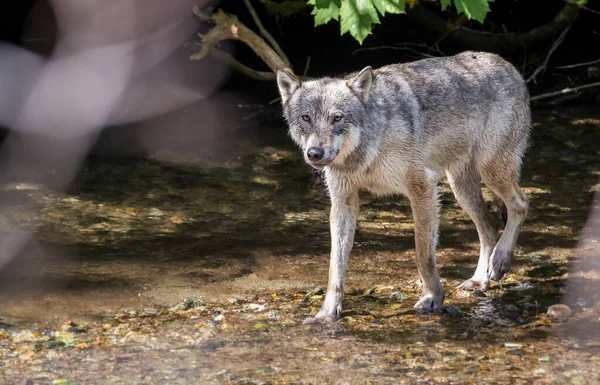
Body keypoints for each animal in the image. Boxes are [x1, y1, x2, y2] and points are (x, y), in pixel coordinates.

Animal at [276, 50, 528, 320]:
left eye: (337, 118)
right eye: (306, 118)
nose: (314, 153)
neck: (367, 151)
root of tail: (508, 65)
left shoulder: (422, 188)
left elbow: (423, 255)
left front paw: (432, 298)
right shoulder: (343, 201)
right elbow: (336, 265)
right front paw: (327, 313)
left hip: (490, 172)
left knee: (521, 205)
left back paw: (500, 261)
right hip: (461, 187)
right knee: (489, 227)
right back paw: (480, 279)